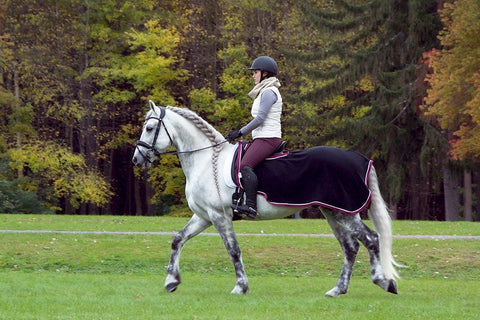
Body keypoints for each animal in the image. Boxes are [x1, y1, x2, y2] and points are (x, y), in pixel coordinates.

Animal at [132, 101, 402, 296]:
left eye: (149, 128)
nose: (136, 159)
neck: (207, 161)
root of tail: (360, 159)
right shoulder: (204, 216)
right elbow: (178, 240)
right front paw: (171, 281)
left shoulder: (219, 216)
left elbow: (233, 249)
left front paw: (240, 286)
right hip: (333, 212)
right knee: (350, 247)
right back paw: (338, 289)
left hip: (342, 212)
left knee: (370, 239)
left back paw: (383, 282)